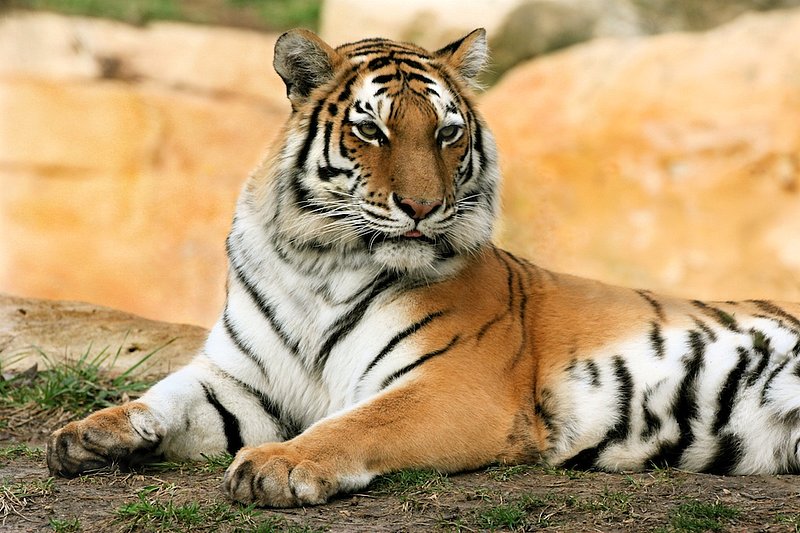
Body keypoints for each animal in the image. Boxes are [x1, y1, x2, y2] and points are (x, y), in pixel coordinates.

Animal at [46, 28, 800, 508]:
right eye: (371, 129)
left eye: (446, 132)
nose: (422, 205)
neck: (318, 261)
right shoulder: (240, 379)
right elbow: (164, 395)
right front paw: (87, 433)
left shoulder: (451, 385)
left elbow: (357, 424)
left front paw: (277, 466)